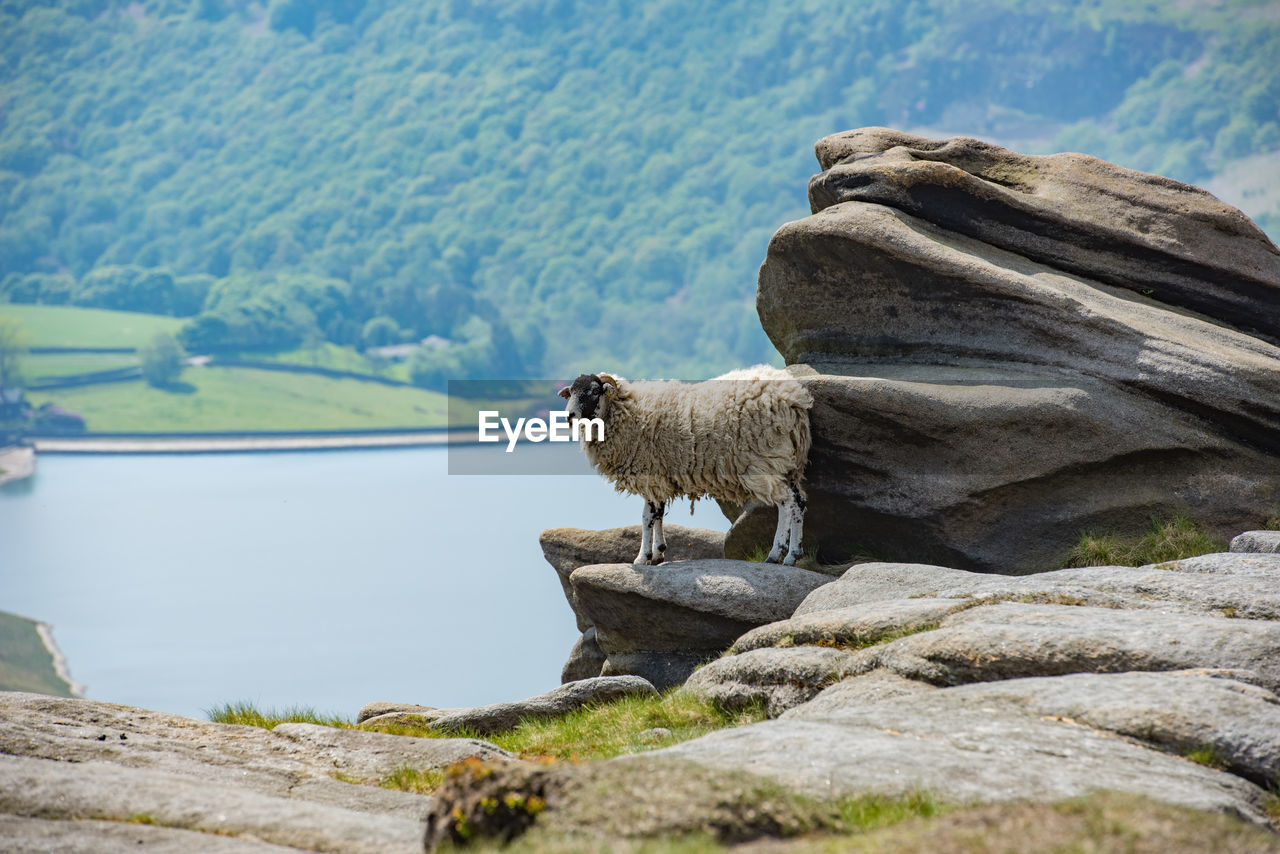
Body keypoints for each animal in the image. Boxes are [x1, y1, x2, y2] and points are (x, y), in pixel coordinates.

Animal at [558, 363, 808, 568]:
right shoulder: (659, 477)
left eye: (594, 391)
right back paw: (794, 555)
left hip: (765, 461)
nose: (569, 415)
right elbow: (658, 514)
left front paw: (642, 558)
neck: (627, 413)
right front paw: (658, 553)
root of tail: (793, 398)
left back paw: (776, 554)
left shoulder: (649, 474)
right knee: (799, 501)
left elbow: (647, 517)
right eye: (572, 392)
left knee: (786, 502)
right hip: (788, 463)